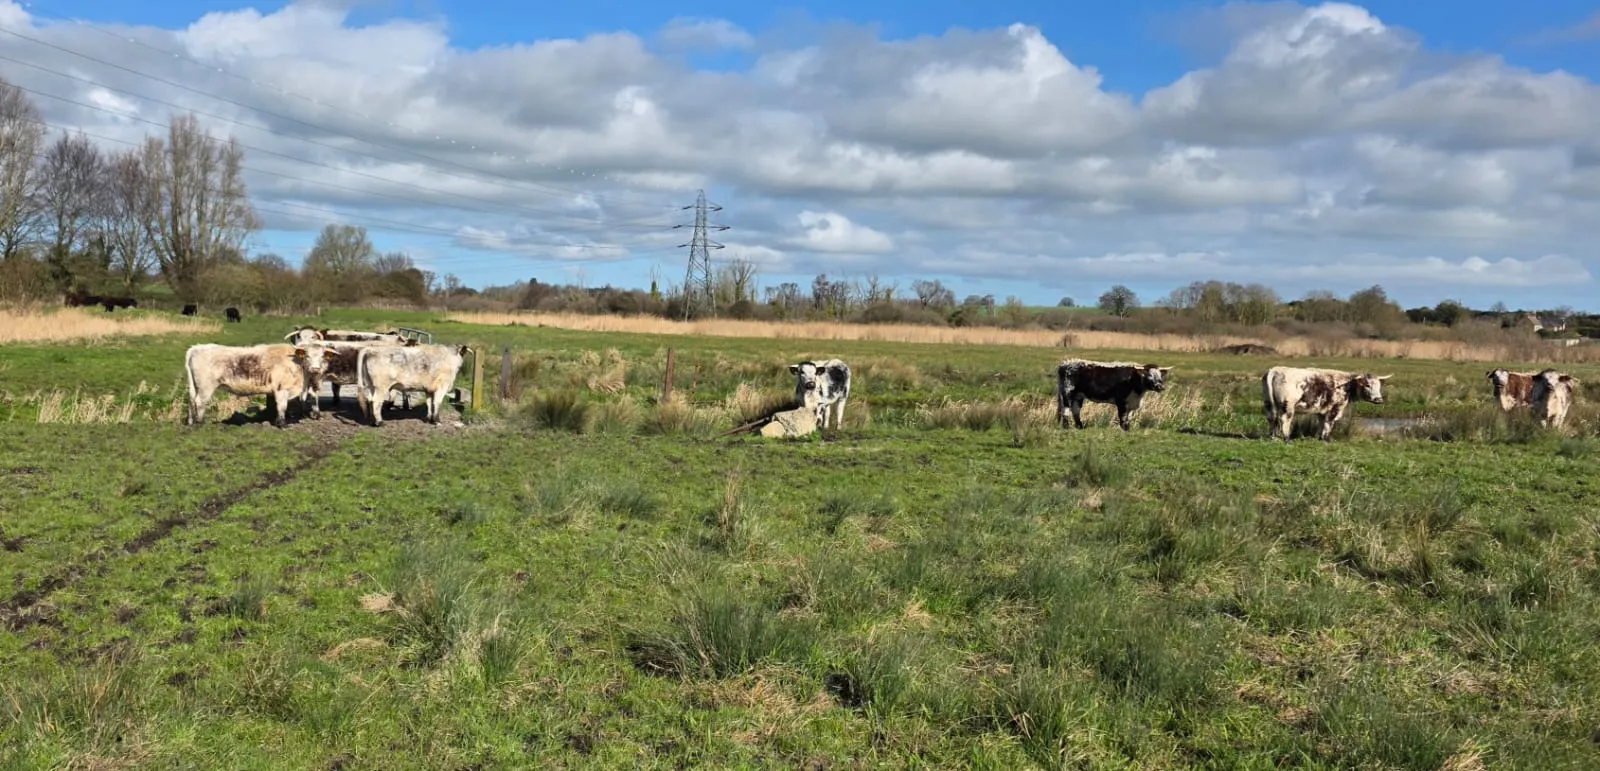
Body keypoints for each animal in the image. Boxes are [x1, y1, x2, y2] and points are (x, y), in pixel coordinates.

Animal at [184, 343, 338, 428]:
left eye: (322, 356)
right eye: (307, 356)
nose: (315, 369)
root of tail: (197, 347)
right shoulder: (281, 389)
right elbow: (282, 406)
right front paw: (282, 424)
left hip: (196, 387)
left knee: (191, 401)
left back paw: (191, 423)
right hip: (206, 387)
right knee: (200, 402)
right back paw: (200, 423)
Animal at [1262, 366, 1391, 441]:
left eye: (1379, 385)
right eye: (1367, 385)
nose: (1378, 399)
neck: (1347, 385)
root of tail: (1275, 370)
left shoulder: (1322, 410)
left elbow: (1321, 423)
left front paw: (1318, 437)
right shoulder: (1335, 408)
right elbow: (1329, 423)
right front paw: (1326, 438)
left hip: (1268, 403)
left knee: (1271, 418)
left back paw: (1273, 437)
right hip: (1287, 406)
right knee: (1284, 420)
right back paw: (1287, 438)